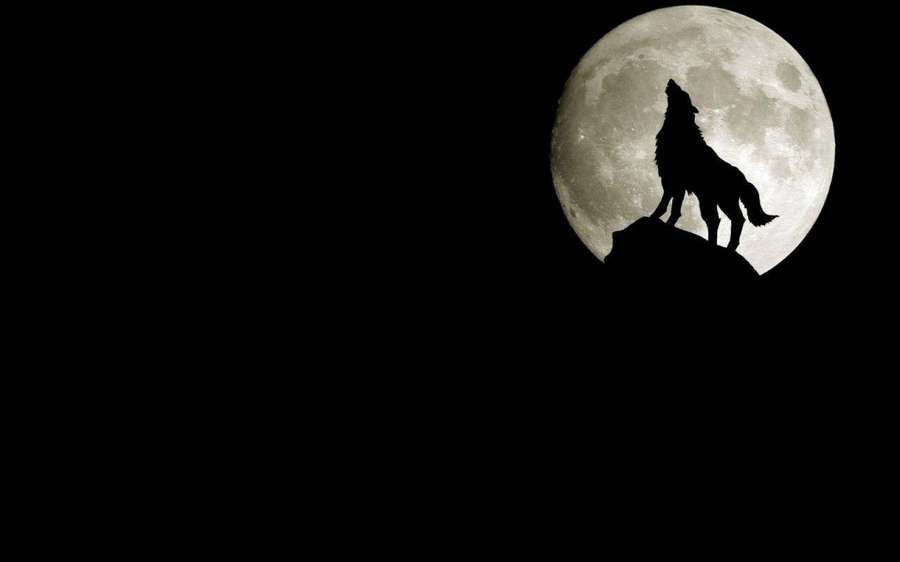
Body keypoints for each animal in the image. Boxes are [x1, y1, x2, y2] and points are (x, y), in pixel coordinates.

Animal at [652, 79, 777, 250]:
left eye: (683, 92)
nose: (672, 81)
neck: (680, 129)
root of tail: (744, 179)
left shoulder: (673, 181)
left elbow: (665, 206)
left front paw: (653, 218)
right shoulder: (676, 184)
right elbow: (674, 209)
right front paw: (666, 223)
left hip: (722, 201)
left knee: (735, 220)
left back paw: (727, 247)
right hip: (709, 201)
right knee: (716, 220)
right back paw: (718, 245)